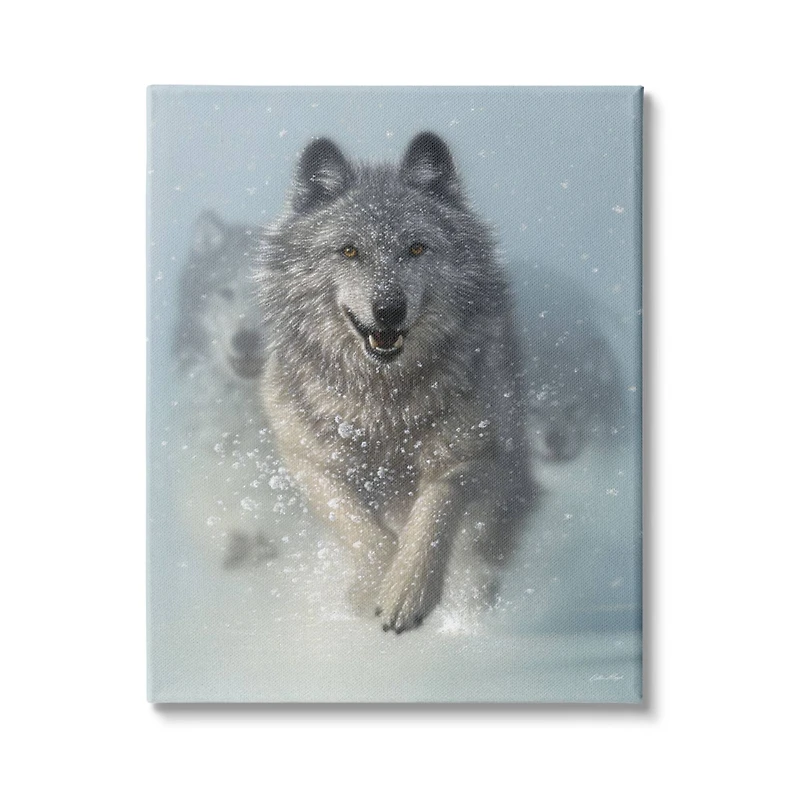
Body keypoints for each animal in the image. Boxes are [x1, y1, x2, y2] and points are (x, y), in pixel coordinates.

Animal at [257, 133, 534, 632]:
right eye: (349, 251)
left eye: (417, 249)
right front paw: (372, 586)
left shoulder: (474, 454)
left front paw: (407, 591)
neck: (382, 404)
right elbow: (359, 528)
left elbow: (434, 512)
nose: (388, 309)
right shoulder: (307, 461)